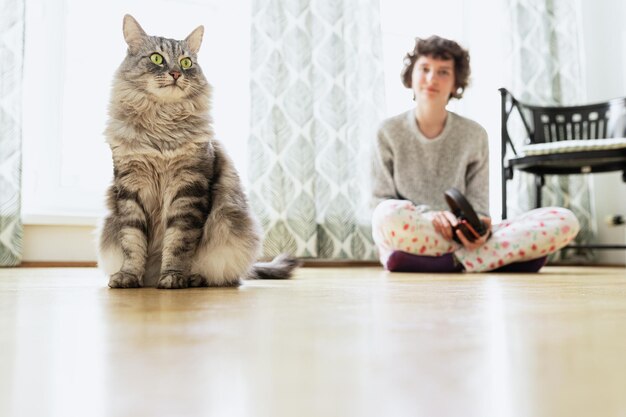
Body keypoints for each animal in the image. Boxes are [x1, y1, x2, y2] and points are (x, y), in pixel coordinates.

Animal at [97, 15, 300, 290]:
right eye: (157, 59)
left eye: (186, 62)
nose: (175, 73)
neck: (161, 125)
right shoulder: (130, 188)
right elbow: (132, 241)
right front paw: (129, 276)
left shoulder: (188, 187)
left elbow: (178, 242)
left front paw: (173, 276)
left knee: (225, 275)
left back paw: (195, 278)